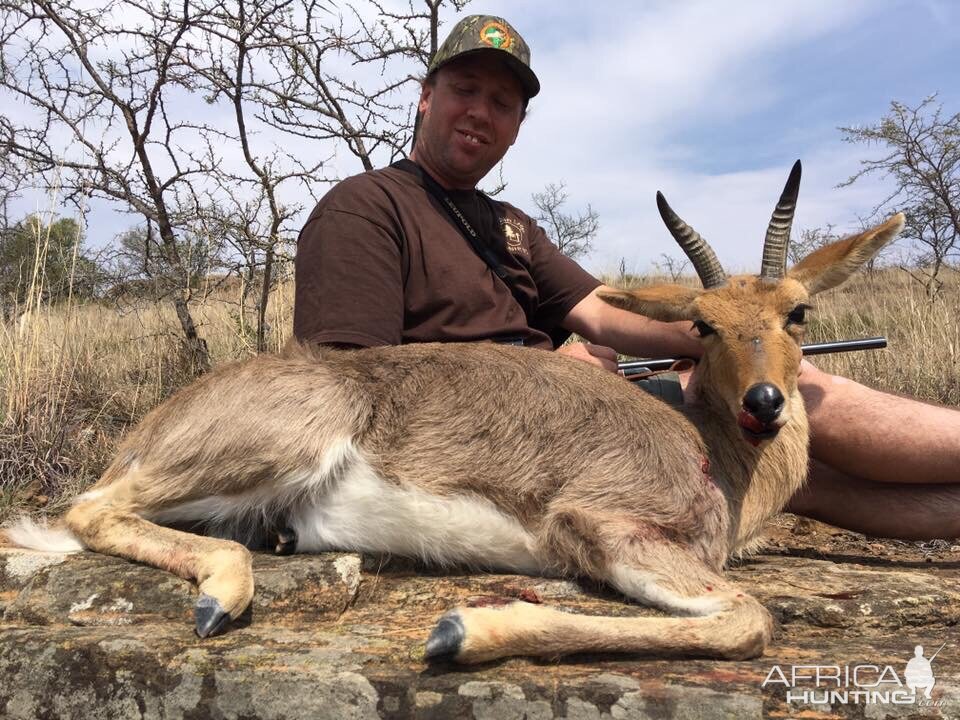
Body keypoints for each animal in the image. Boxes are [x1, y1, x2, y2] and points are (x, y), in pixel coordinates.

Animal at [7, 162, 904, 664]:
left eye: (797, 313)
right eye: (702, 326)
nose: (766, 403)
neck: (712, 452)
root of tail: (149, 427)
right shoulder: (602, 526)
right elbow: (749, 619)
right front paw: (460, 632)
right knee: (88, 507)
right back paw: (222, 595)